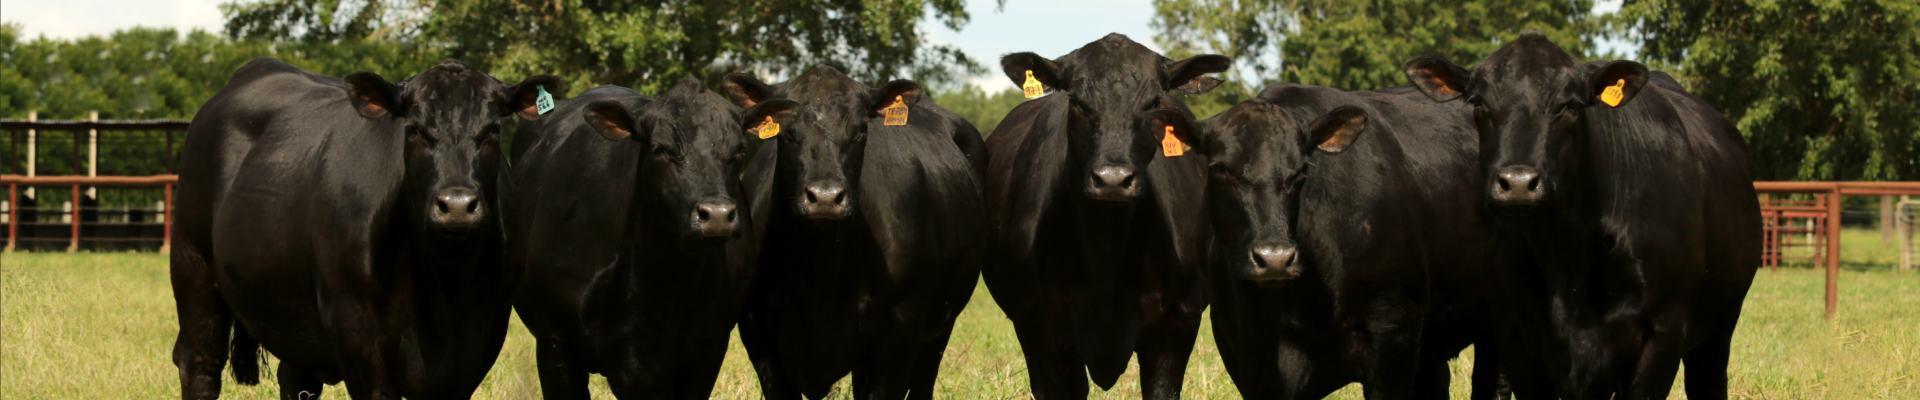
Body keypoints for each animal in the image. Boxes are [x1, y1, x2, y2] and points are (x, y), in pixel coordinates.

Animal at [171, 57, 562, 399]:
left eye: (493, 129)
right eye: (413, 129)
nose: (456, 205)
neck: (444, 283)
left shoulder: (482, 336)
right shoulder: (356, 331)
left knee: (295, 379)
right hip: (193, 265)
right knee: (199, 363)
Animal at [723, 65, 988, 400]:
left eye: (861, 130)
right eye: (786, 132)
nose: (825, 197)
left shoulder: (899, 336)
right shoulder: (759, 337)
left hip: (940, 328)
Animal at [1403, 31, 1763, 399]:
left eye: (1570, 106)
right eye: (1479, 104)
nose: (1517, 183)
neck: (1568, 257)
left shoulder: (1663, 333)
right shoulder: (1514, 335)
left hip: (1719, 328)